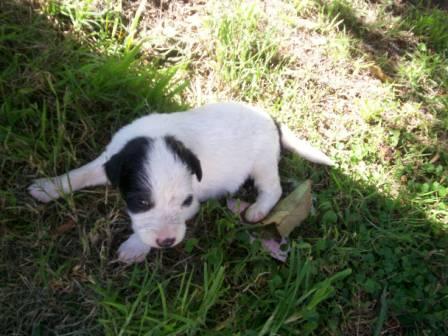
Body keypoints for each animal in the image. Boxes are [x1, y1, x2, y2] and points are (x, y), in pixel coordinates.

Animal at [28, 101, 330, 264]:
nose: (167, 242)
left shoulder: (191, 205)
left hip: (263, 163)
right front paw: (49, 187)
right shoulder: (108, 158)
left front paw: (135, 247)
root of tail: (272, 119)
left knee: (273, 188)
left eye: (184, 202)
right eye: (141, 202)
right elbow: (80, 173)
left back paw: (258, 209)